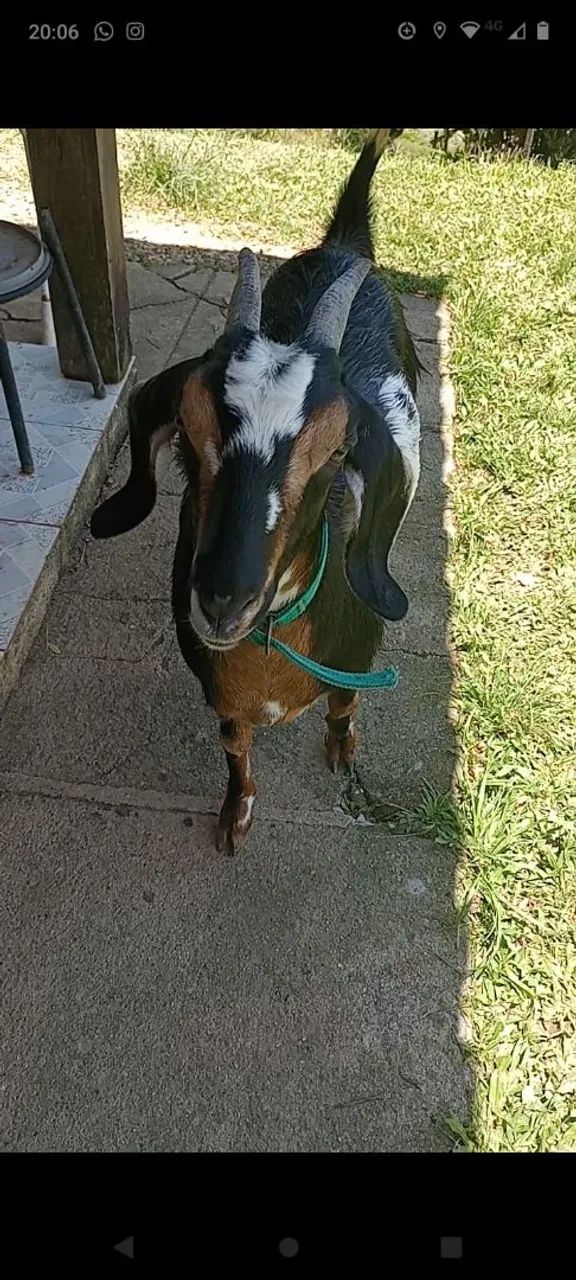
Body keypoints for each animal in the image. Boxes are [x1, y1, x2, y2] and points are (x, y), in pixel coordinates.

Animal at [91, 129, 422, 855]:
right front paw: (234, 817)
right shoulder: (220, 695)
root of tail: (344, 244)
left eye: (337, 452)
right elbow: (236, 750)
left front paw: (342, 756)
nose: (222, 601)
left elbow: (345, 705)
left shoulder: (358, 660)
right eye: (185, 432)